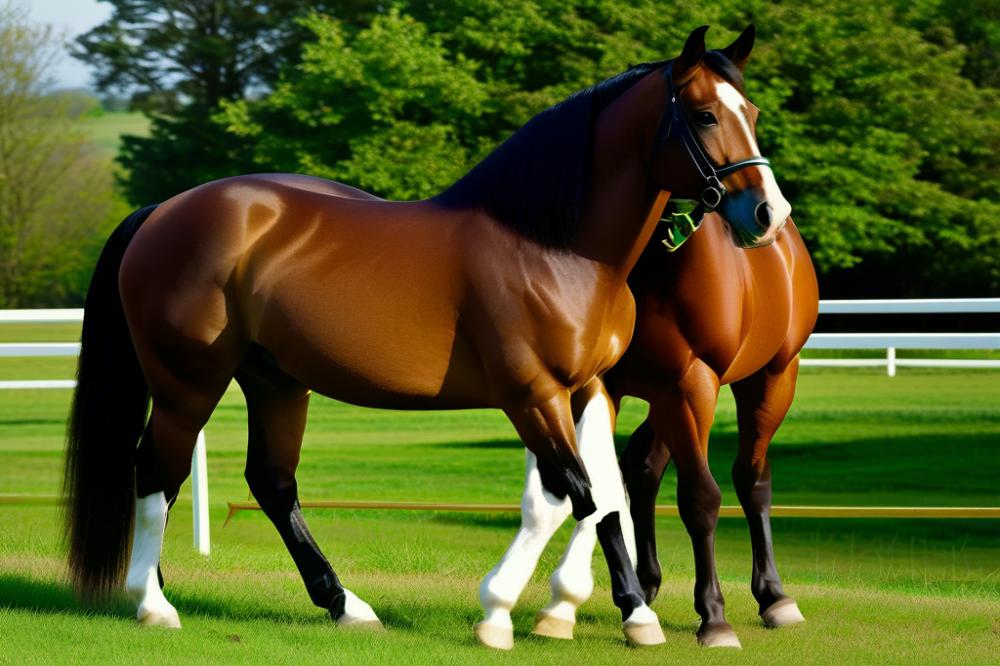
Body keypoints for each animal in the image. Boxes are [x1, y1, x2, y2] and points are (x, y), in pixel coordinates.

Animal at [486, 211, 820, 644]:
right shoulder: (604, 388)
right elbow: (597, 488)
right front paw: (567, 605)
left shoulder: (691, 382)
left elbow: (699, 497)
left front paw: (713, 616)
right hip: (671, 401)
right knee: (644, 468)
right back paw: (645, 585)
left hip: (770, 379)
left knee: (751, 477)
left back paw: (774, 597)